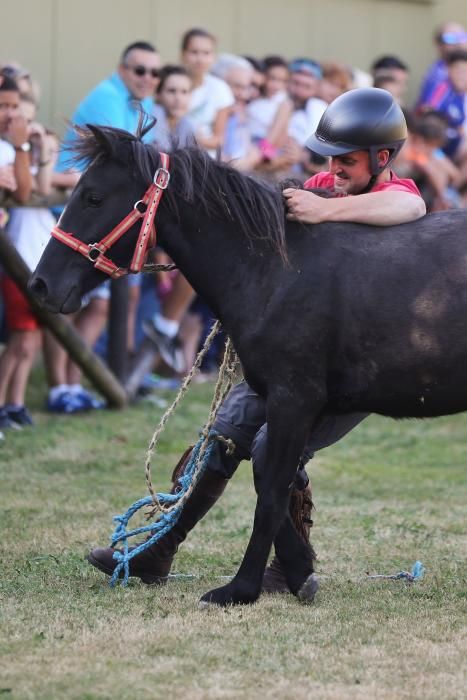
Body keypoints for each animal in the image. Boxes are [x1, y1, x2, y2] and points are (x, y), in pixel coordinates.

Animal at [30, 124, 467, 608]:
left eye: (93, 197)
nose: (41, 285)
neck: (275, 268)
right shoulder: (274, 398)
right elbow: (251, 470)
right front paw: (297, 571)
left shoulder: (295, 399)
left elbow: (271, 490)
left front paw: (241, 588)